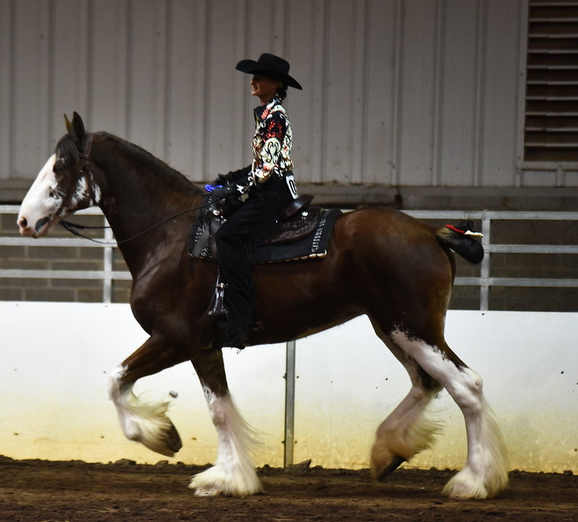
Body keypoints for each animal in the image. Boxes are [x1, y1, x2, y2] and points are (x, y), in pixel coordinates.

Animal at [16, 115, 504, 500]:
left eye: (61, 165)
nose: (22, 220)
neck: (170, 238)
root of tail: (431, 234)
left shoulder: (175, 337)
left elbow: (118, 380)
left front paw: (162, 437)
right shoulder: (203, 345)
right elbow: (219, 406)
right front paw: (229, 477)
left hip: (413, 328)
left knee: (466, 385)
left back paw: (473, 481)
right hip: (393, 328)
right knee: (427, 382)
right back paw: (389, 450)